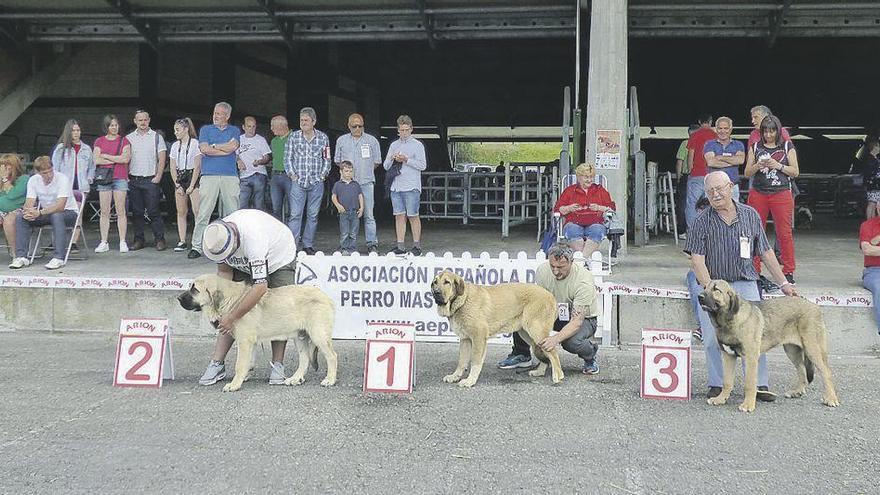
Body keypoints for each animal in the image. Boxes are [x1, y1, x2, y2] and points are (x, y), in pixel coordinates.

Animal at [177, 276, 338, 392]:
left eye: (195, 289)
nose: (178, 298)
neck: (231, 300)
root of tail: (326, 297)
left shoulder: (244, 341)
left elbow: (240, 364)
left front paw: (234, 384)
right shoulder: (251, 342)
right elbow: (249, 362)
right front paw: (243, 377)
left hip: (318, 334)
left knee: (332, 356)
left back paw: (329, 380)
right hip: (300, 337)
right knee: (304, 360)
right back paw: (295, 378)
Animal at [432, 272, 564, 388]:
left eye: (447, 282)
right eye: (435, 282)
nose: (436, 292)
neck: (462, 300)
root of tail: (551, 295)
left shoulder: (478, 337)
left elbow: (475, 362)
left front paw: (470, 380)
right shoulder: (465, 339)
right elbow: (461, 361)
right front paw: (455, 376)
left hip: (536, 331)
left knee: (552, 351)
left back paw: (558, 376)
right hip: (527, 334)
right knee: (545, 352)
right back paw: (540, 372)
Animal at [700, 280, 840, 412]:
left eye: (716, 289)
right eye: (705, 287)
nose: (699, 296)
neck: (728, 320)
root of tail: (815, 306)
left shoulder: (751, 357)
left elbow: (750, 383)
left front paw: (748, 405)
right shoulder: (728, 356)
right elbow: (727, 382)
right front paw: (720, 399)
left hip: (812, 348)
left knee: (826, 372)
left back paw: (831, 399)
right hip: (792, 350)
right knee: (802, 371)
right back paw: (796, 392)